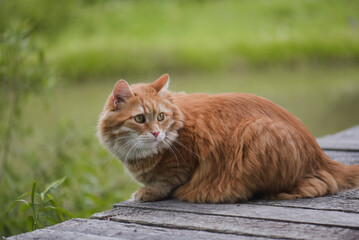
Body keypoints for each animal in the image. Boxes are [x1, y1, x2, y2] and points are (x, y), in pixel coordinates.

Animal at [97, 74, 359, 203]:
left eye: (161, 117)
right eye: (140, 119)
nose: (156, 133)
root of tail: (321, 157)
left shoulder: (186, 163)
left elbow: (166, 183)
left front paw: (146, 193)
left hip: (256, 132)